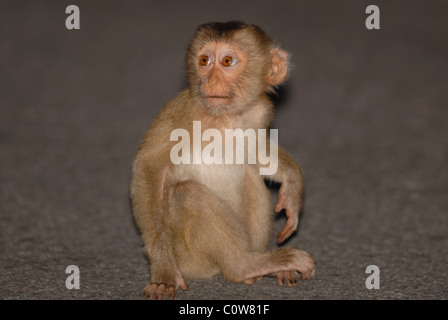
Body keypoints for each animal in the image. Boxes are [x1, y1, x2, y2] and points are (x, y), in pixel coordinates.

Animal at [130, 21, 316, 298]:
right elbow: (148, 167)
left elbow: (254, 152)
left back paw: (265, 264)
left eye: (227, 61)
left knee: (250, 176)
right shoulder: (186, 113)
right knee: (187, 193)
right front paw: (163, 273)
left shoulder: (257, 112)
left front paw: (292, 183)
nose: (211, 80)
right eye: (204, 61)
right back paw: (244, 266)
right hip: (190, 259)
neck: (225, 117)